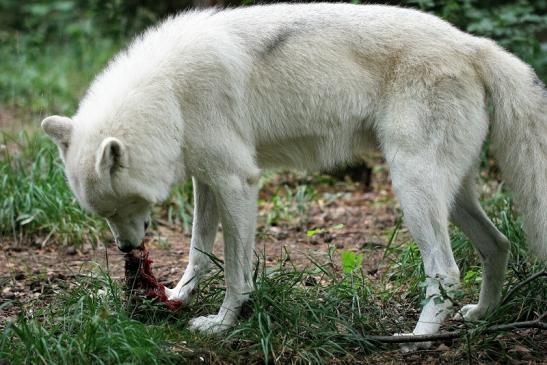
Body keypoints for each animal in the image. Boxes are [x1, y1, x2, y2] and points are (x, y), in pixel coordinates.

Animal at [39, 3, 547, 344]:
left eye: (121, 207)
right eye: (102, 215)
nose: (127, 249)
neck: (169, 93)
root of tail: (473, 45)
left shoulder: (237, 183)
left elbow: (236, 272)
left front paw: (222, 324)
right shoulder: (208, 181)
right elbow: (198, 253)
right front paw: (179, 297)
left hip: (413, 190)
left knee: (446, 269)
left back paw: (419, 338)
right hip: (450, 196)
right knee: (498, 245)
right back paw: (480, 316)